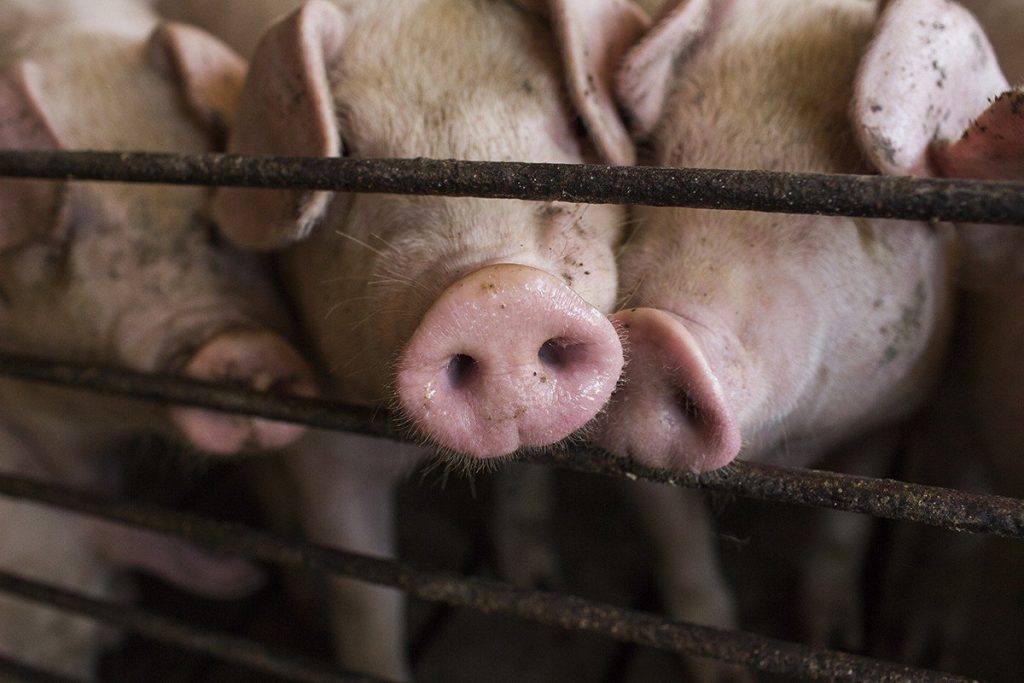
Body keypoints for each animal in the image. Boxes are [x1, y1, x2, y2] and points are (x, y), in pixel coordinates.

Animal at [209, 0, 648, 678]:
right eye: (347, 154)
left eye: (574, 122)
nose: (498, 296)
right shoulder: (321, 439)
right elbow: (365, 598)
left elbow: (522, 487)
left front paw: (537, 587)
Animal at [594, 0, 1022, 678]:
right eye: (662, 156)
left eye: (858, 204)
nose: (656, 328)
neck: (789, 454)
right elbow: (680, 548)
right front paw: (725, 670)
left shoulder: (886, 417)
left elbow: (844, 531)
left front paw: (837, 643)